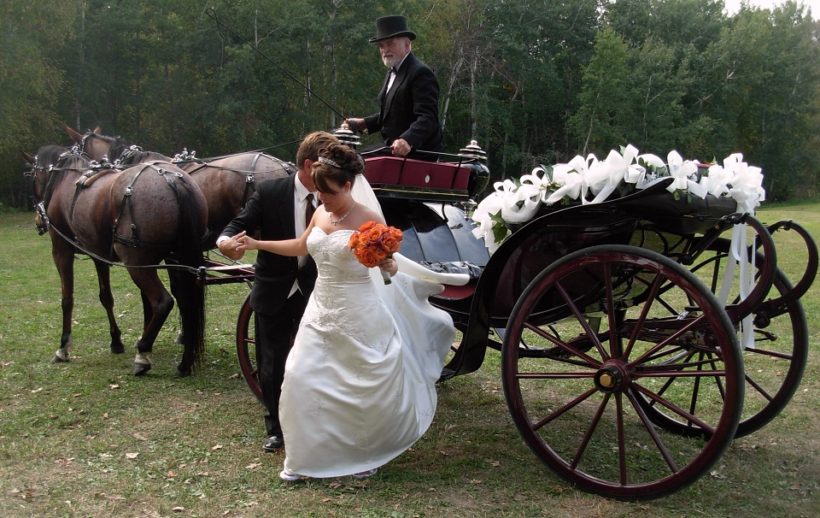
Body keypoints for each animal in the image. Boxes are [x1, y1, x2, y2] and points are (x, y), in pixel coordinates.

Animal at [24, 146, 208, 378]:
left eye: (31, 176)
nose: (38, 220)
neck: (66, 178)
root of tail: (172, 180)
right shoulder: (98, 254)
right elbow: (106, 297)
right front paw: (116, 340)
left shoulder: (61, 250)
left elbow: (67, 300)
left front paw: (63, 347)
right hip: (176, 257)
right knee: (186, 299)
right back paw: (184, 360)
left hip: (137, 263)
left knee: (163, 301)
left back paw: (143, 353)